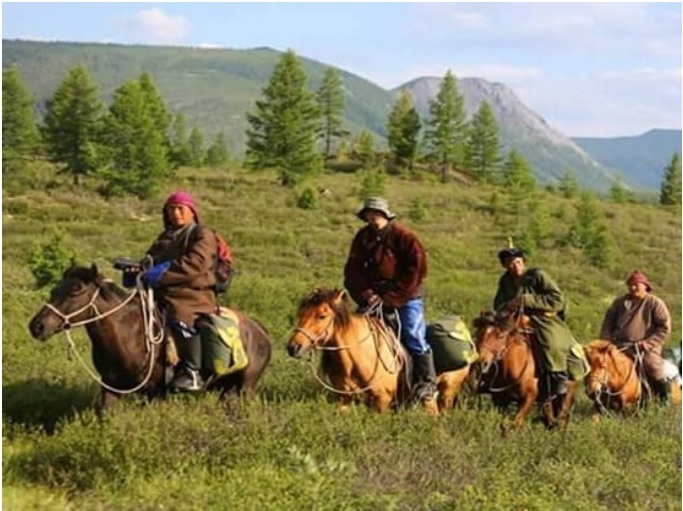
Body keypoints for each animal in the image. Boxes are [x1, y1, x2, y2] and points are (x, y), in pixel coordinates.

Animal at [28, 266, 272, 414]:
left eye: (75, 291)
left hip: (246, 386)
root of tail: (259, 329)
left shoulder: (156, 392)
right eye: (54, 289)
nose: (37, 326)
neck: (128, 336)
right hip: (226, 388)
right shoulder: (111, 387)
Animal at [286, 288, 472, 416]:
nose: (293, 347)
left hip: (448, 392)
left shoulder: (382, 401)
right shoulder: (343, 399)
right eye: (301, 313)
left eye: (322, 316)